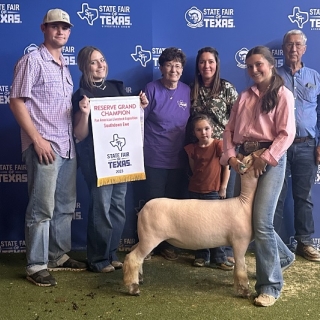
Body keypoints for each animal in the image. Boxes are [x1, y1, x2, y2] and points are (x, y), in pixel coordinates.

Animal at [122, 150, 262, 298]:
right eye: (250, 160)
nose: (261, 152)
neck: (244, 203)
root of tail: (142, 210)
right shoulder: (240, 241)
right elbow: (241, 267)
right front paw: (245, 291)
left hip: (144, 236)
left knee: (134, 252)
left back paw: (139, 278)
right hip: (150, 237)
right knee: (133, 258)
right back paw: (133, 288)